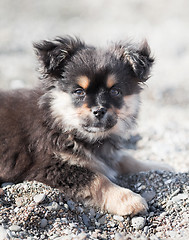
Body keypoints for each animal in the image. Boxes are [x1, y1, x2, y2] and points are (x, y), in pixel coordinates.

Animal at [0, 37, 168, 216]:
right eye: (79, 92)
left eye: (115, 91)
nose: (99, 110)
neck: (61, 125)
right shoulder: (50, 167)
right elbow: (98, 179)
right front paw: (129, 200)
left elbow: (127, 159)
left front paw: (161, 167)